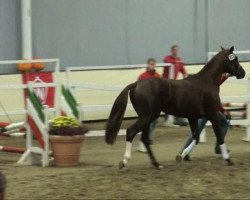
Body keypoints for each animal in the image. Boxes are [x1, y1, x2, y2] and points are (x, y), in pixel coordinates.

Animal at [105, 46, 246, 169]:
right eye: (235, 59)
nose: (243, 73)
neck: (208, 82)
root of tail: (136, 84)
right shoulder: (213, 114)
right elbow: (219, 137)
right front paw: (228, 160)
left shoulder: (193, 117)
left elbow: (196, 137)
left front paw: (181, 156)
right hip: (146, 116)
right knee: (131, 132)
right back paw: (124, 162)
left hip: (149, 117)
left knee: (144, 138)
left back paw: (157, 164)